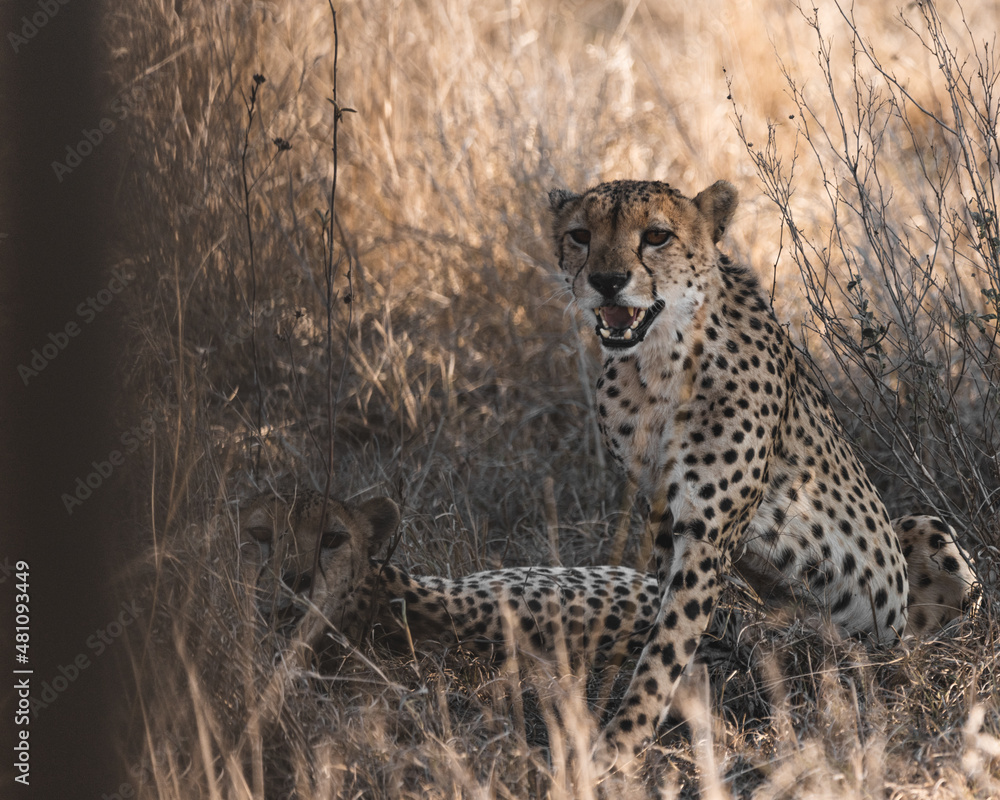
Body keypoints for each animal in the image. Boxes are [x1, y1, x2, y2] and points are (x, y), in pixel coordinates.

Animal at [549, 178, 978, 769]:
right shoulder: (661, 522)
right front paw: (693, 710)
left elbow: (666, 645)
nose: (607, 282)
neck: (656, 361)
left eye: (656, 236)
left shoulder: (705, 533)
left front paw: (621, 742)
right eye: (580, 235)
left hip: (923, 536)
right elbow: (677, 632)